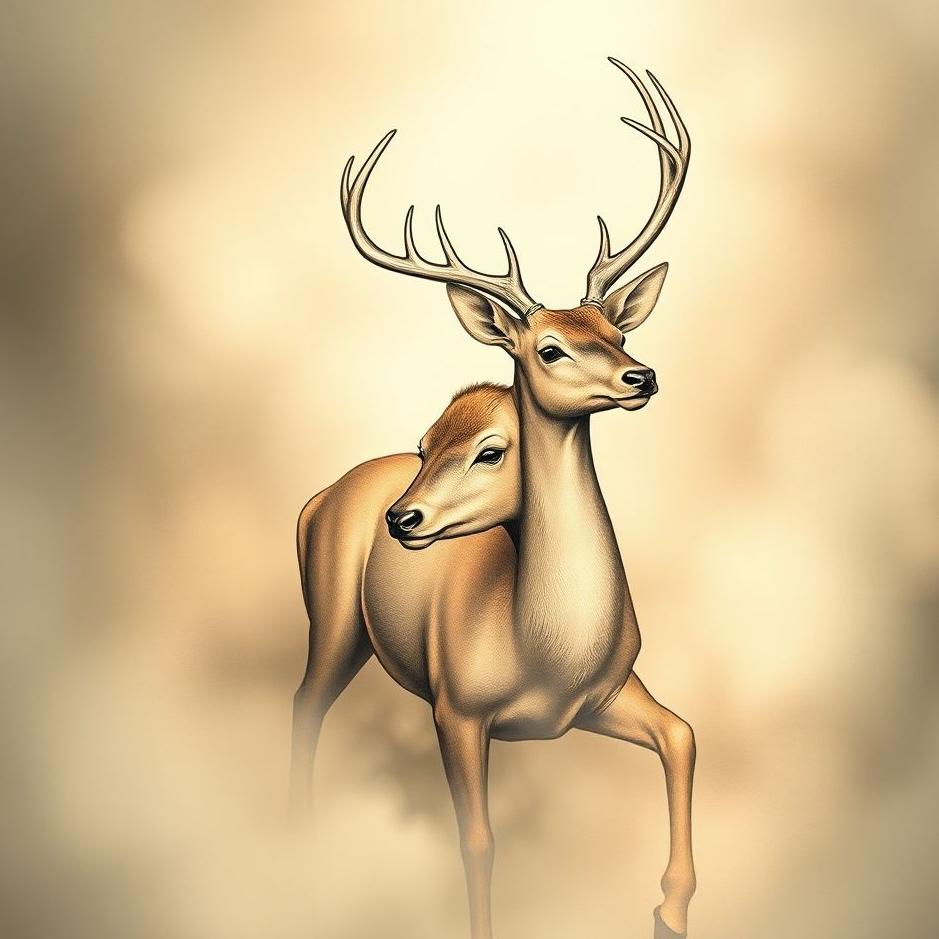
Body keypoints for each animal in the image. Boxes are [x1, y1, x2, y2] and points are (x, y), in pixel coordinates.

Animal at [292, 59, 695, 939]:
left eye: (616, 332)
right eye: (548, 347)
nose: (641, 376)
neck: (541, 650)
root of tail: (321, 495)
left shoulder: (607, 692)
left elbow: (682, 733)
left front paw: (669, 905)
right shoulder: (456, 707)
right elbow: (476, 841)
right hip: (332, 615)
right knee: (303, 706)